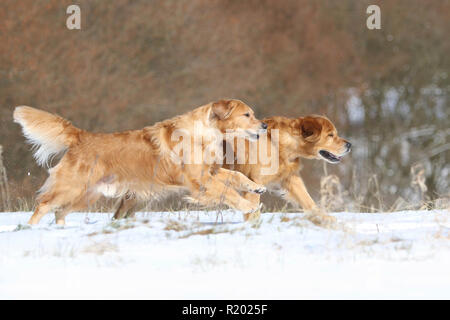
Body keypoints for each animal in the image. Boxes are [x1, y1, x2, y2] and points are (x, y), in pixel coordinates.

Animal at [14, 99, 268, 226]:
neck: (206, 134)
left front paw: (255, 187)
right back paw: (29, 229)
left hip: (86, 194)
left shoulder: (211, 171)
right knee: (43, 205)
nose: (265, 126)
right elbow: (229, 192)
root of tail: (81, 136)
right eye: (247, 115)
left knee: (59, 212)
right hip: (72, 187)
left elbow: (235, 176)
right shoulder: (200, 181)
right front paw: (248, 206)